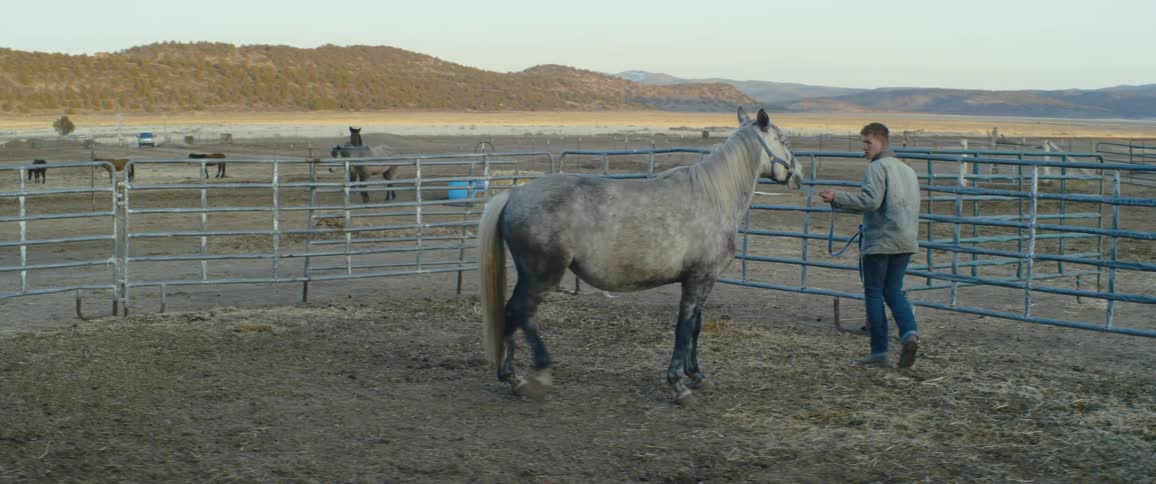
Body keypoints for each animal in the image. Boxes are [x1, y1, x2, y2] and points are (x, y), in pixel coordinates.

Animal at [478, 107, 801, 406]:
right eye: (784, 140)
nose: (798, 175)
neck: (713, 197)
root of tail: (514, 195)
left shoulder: (700, 280)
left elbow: (696, 327)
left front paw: (697, 375)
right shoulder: (699, 280)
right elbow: (684, 329)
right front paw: (678, 385)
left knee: (514, 314)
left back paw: (514, 377)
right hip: (541, 275)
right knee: (519, 312)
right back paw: (532, 375)